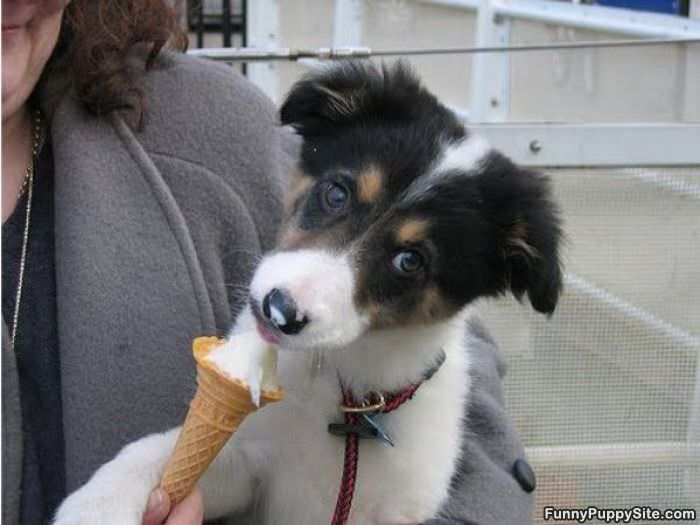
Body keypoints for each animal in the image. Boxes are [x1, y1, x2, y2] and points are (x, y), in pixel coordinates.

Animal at [57, 62, 568, 524]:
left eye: (410, 260)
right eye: (336, 193)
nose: (279, 311)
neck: (347, 399)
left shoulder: (401, 506)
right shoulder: (248, 463)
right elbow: (157, 452)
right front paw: (97, 506)